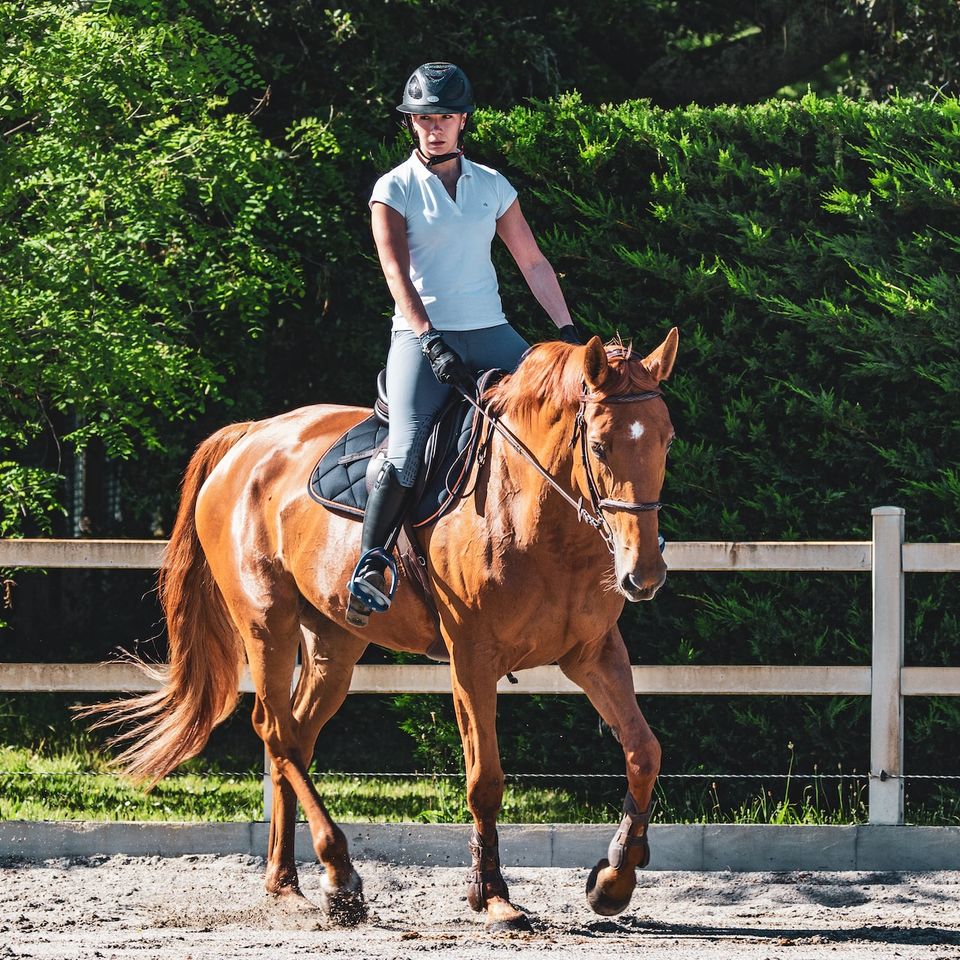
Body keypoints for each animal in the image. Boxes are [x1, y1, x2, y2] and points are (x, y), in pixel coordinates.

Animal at [88, 330, 676, 928]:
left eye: (667, 441)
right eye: (600, 446)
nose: (644, 574)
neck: (537, 516)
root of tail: (248, 439)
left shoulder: (593, 653)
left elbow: (643, 751)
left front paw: (614, 879)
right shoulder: (473, 659)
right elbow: (485, 780)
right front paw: (492, 895)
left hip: (333, 642)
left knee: (296, 735)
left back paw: (287, 883)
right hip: (266, 623)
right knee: (276, 731)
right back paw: (340, 874)